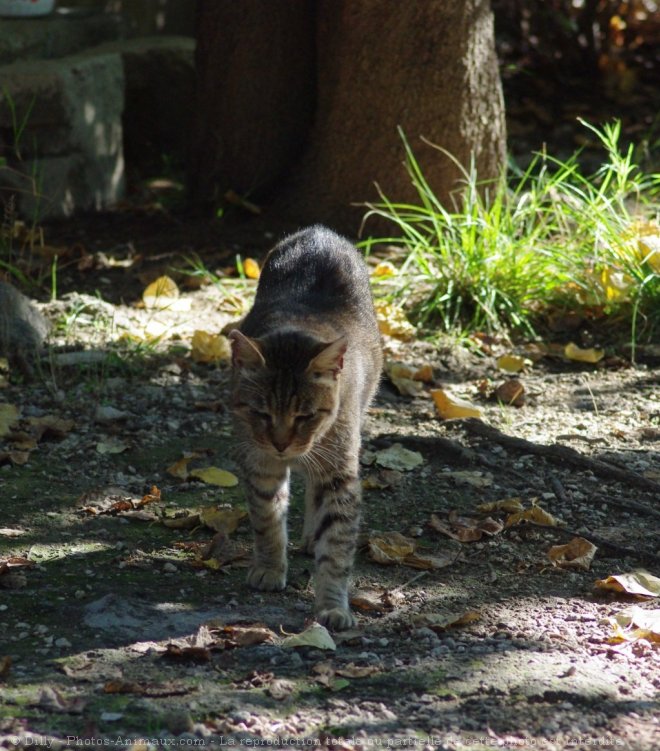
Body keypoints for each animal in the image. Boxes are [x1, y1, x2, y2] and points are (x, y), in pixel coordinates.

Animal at [229, 226, 382, 632]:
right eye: (261, 413)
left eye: (305, 415)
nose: (282, 444)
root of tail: (319, 230)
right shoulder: (260, 463)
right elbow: (267, 519)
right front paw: (270, 567)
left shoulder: (341, 470)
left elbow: (338, 546)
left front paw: (333, 604)